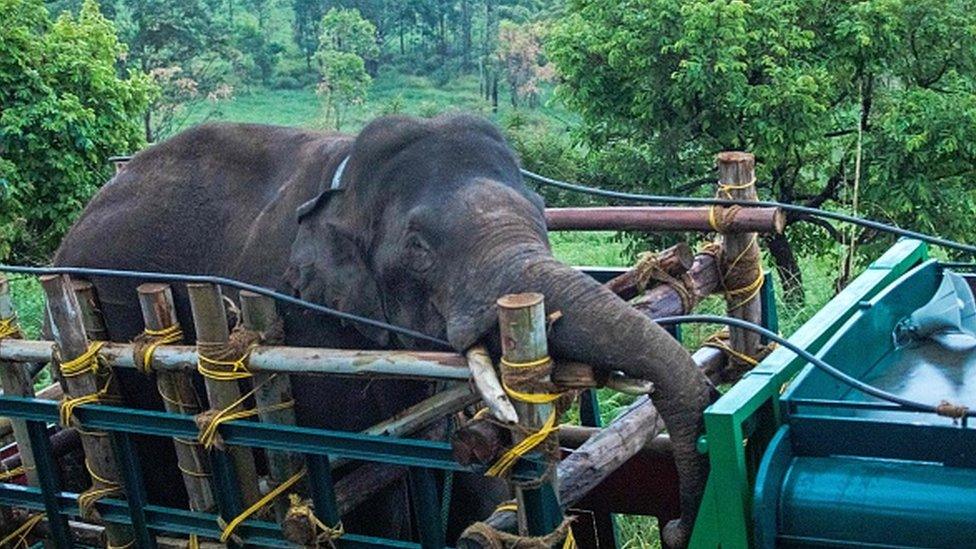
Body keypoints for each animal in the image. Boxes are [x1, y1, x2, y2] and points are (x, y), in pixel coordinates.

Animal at [51, 113, 708, 544]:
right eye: (418, 248)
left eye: (545, 215)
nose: (679, 528)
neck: (345, 183)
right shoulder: (307, 323)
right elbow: (366, 484)